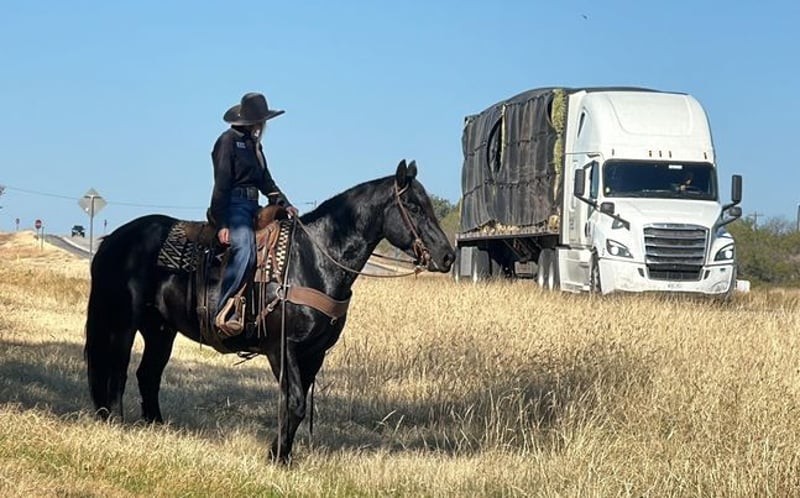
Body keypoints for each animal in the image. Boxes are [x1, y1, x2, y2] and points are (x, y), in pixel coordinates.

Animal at [84, 159, 455, 463]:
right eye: (412, 206)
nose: (447, 256)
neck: (312, 260)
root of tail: (113, 240)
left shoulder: (314, 353)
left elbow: (295, 405)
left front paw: (283, 455)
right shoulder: (282, 347)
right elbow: (293, 402)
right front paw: (276, 456)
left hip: (160, 329)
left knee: (148, 374)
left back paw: (158, 429)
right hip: (123, 322)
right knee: (116, 371)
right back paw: (116, 423)